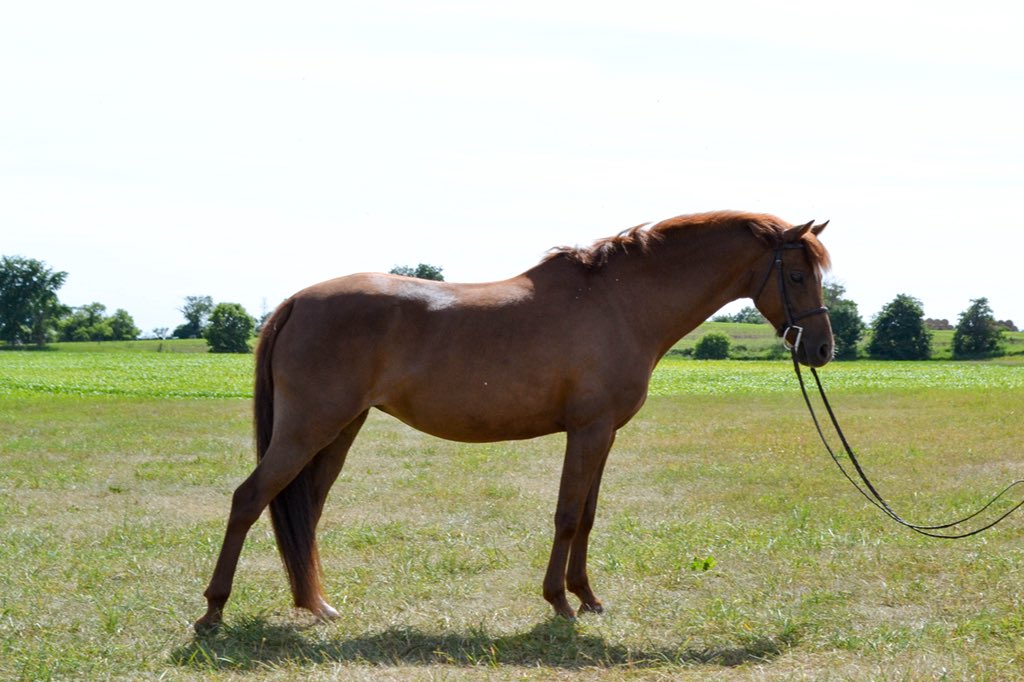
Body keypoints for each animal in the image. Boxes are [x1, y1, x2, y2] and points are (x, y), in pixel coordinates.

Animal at [195, 210, 833, 631]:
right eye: (799, 275)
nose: (822, 349)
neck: (621, 303)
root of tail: (295, 301)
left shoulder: (603, 435)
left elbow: (588, 516)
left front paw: (588, 598)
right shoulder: (589, 431)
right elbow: (568, 516)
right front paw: (559, 601)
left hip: (337, 431)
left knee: (306, 509)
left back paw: (316, 605)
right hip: (308, 428)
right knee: (249, 499)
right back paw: (213, 610)